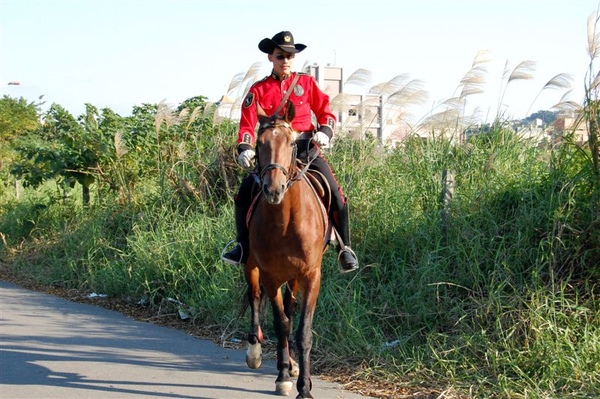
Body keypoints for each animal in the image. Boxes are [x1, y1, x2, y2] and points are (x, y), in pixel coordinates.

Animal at [243, 101, 328, 398]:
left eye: (291, 142)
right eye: (259, 144)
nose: (273, 189)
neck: (285, 220)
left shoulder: (311, 275)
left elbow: (302, 331)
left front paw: (304, 386)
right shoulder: (269, 276)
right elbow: (280, 325)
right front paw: (282, 377)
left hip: (293, 276)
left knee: (290, 309)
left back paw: (291, 364)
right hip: (252, 267)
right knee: (255, 298)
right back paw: (255, 352)